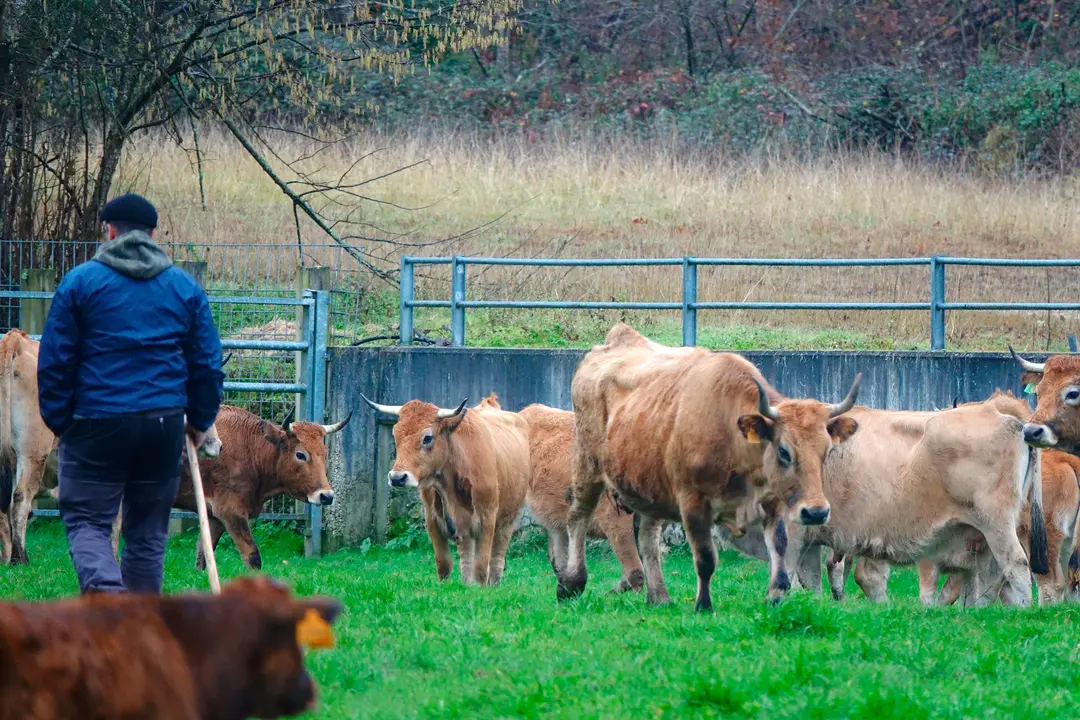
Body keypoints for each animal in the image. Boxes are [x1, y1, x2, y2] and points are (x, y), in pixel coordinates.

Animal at [362, 395, 531, 587]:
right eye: (395, 434)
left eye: (427, 438)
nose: (397, 478)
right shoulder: (434, 520)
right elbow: (444, 564)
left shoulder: (487, 517)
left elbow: (481, 567)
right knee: (467, 556)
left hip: (509, 519)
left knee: (497, 559)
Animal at [557, 323, 859, 613]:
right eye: (784, 451)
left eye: (826, 450)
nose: (816, 512)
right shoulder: (693, 502)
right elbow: (705, 558)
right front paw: (703, 605)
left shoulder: (773, 501)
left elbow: (780, 546)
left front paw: (775, 595)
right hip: (586, 463)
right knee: (578, 517)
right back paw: (571, 582)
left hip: (649, 486)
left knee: (647, 537)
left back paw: (659, 596)